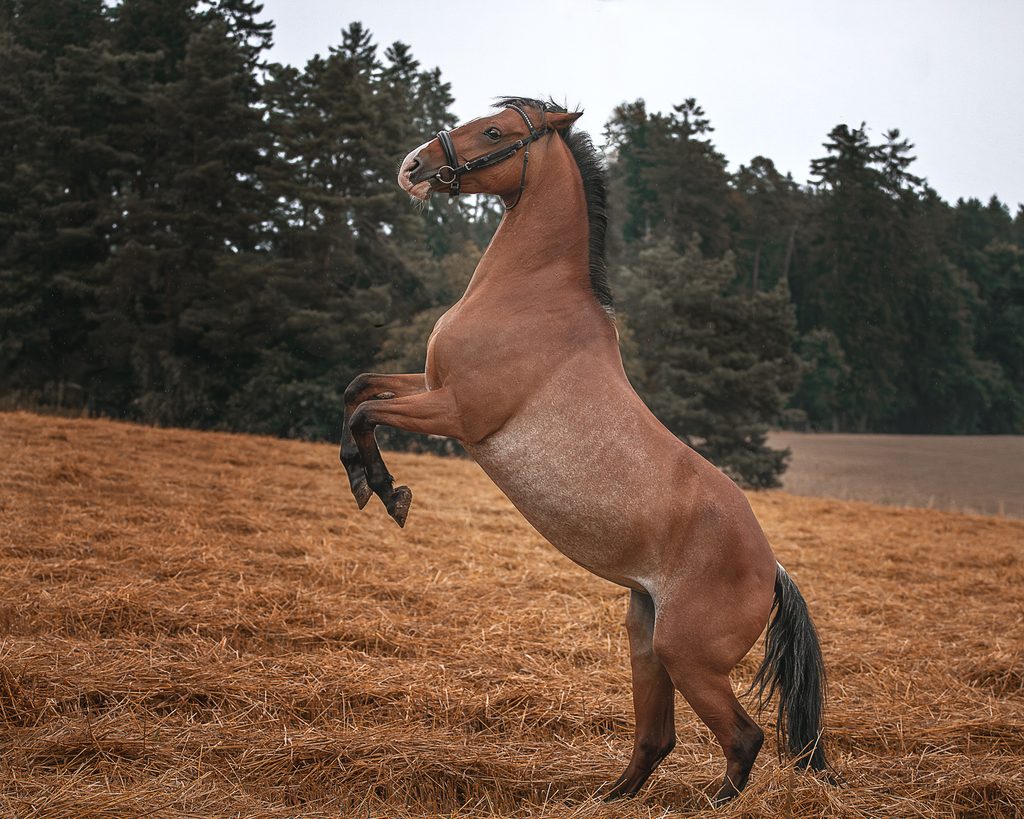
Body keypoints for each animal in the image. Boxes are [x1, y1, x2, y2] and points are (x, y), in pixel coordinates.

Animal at [340, 97, 827, 805]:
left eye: (495, 131)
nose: (413, 166)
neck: (528, 297)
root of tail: (773, 570)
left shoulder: (456, 412)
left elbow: (362, 413)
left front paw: (382, 489)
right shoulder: (429, 385)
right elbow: (358, 388)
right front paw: (369, 481)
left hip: (687, 656)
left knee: (743, 738)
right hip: (645, 638)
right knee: (657, 737)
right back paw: (608, 797)